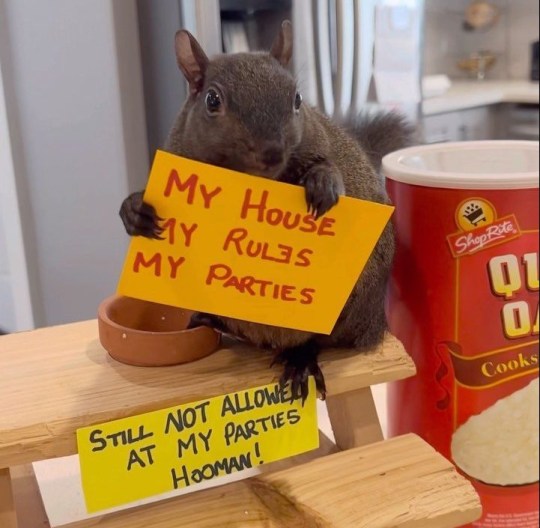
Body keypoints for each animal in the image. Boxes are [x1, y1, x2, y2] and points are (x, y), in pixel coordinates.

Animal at [119, 19, 414, 400]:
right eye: (212, 100)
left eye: (298, 99)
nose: (272, 151)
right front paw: (134, 209)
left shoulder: (320, 145)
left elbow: (329, 169)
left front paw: (323, 185)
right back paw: (211, 321)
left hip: (350, 307)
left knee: (320, 341)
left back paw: (301, 359)